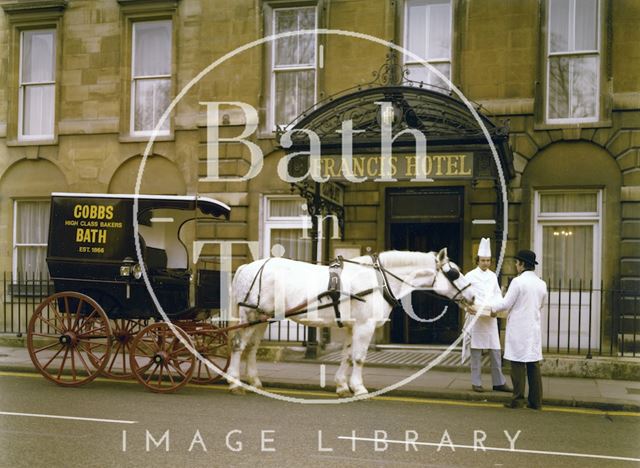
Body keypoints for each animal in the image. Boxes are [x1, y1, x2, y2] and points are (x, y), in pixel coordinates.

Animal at [226, 247, 476, 396]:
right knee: (239, 346)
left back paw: (254, 381)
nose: (473, 297)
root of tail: (247, 267)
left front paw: (342, 386)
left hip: (261, 318)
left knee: (251, 348)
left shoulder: (351, 327)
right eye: (454, 273)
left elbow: (347, 356)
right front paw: (359, 387)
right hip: (249, 316)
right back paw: (235, 382)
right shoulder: (364, 326)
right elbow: (359, 357)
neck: (379, 279)